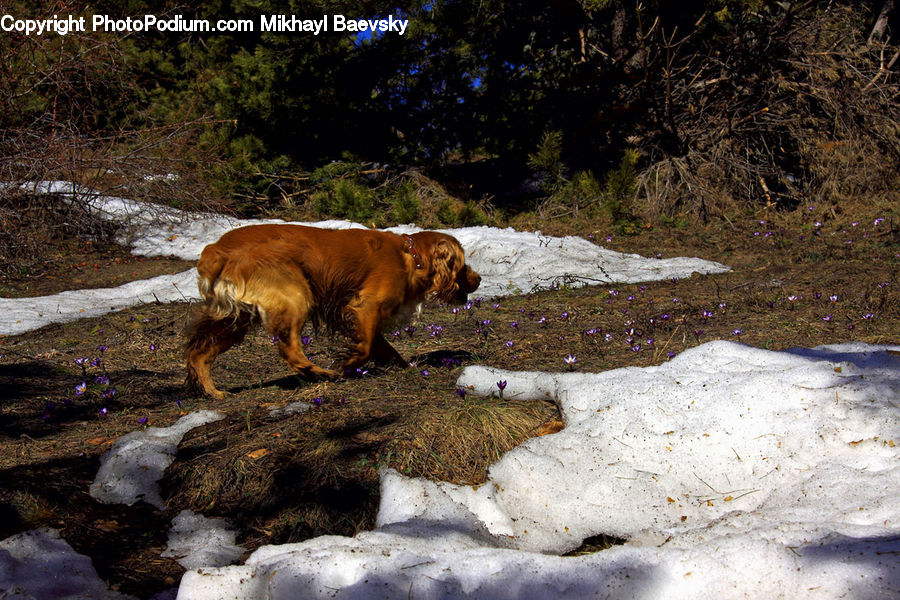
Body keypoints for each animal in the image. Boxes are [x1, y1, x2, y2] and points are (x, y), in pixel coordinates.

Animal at [182, 225, 478, 398]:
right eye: (462, 265)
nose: (479, 279)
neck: (411, 258)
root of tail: (216, 250)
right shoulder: (365, 305)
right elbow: (366, 346)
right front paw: (346, 364)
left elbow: (383, 347)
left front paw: (404, 366)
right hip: (296, 295)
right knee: (290, 350)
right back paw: (320, 373)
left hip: (235, 319)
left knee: (198, 353)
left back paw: (213, 391)